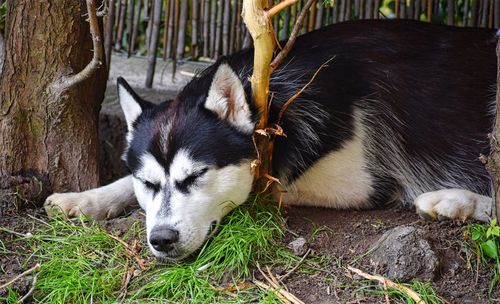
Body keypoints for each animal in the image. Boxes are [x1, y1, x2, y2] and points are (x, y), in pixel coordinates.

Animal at [45, 20, 498, 258]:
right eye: (149, 183)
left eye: (196, 177)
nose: (161, 240)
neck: (275, 99)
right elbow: (122, 182)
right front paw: (84, 199)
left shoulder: (363, 182)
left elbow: (264, 189)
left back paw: (453, 201)